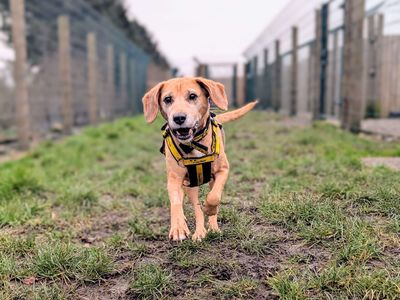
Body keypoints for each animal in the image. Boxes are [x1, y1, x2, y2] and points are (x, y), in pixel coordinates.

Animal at [142, 77, 258, 241]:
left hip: (209, 181)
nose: (178, 118)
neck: (195, 143)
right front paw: (178, 227)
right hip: (191, 184)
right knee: (194, 206)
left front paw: (209, 209)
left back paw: (213, 227)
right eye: (167, 99)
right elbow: (176, 202)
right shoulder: (175, 179)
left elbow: (214, 197)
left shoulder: (223, 170)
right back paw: (199, 231)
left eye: (192, 96)